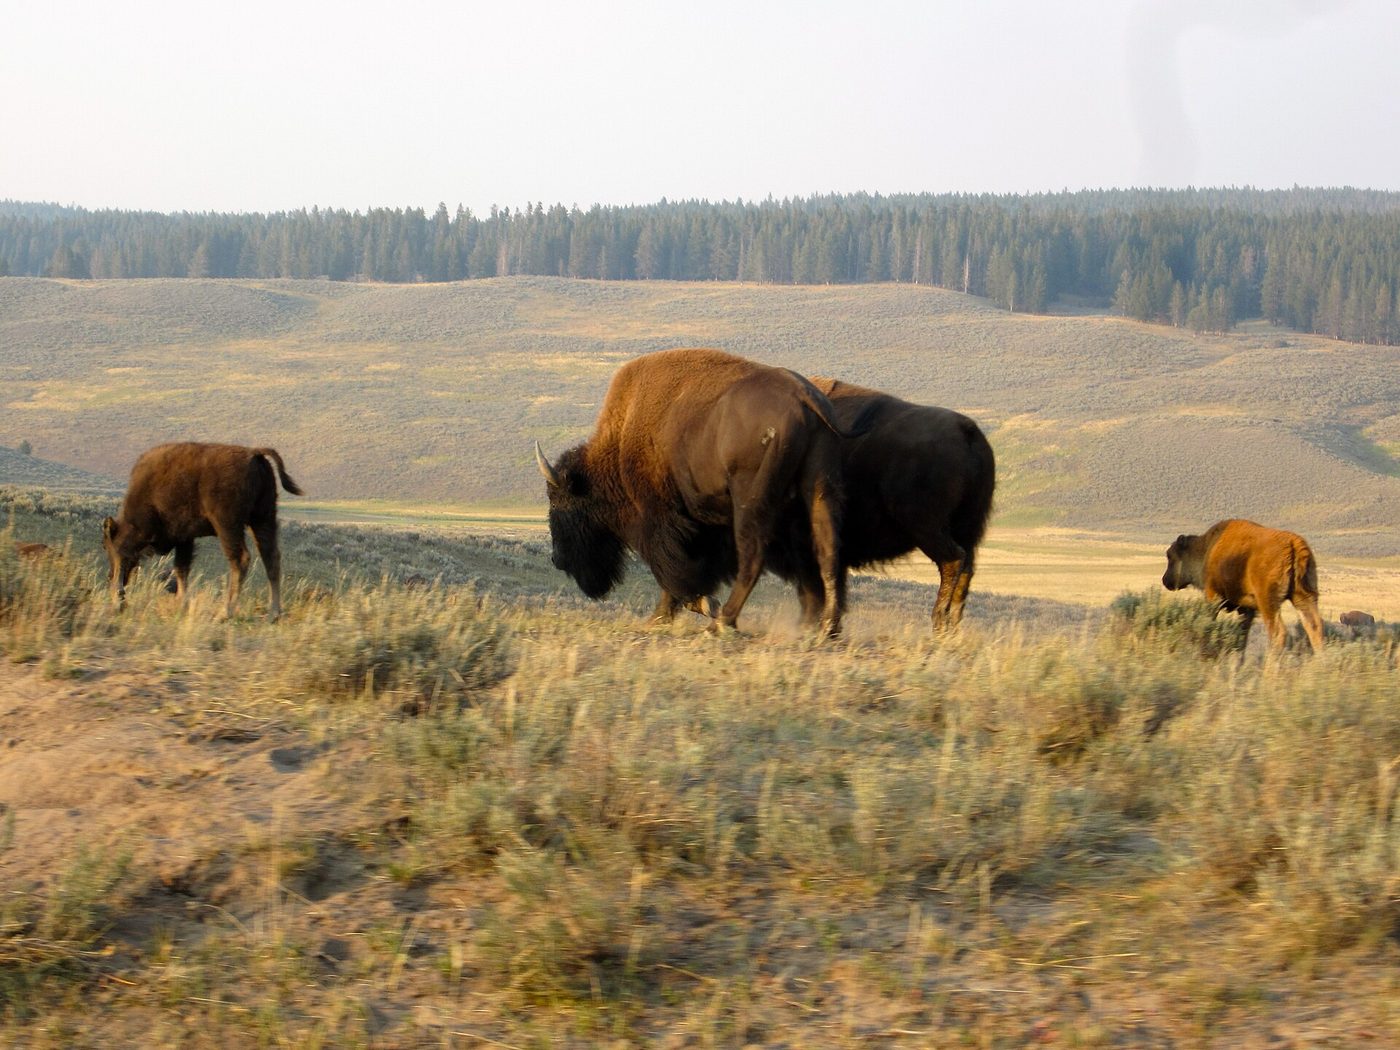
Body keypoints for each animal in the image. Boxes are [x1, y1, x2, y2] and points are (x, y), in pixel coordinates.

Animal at [101, 442, 303, 621]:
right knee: (271, 558)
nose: (111, 576)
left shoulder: (182, 537)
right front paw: (182, 606)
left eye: (107, 546)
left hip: (227, 525)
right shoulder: (185, 539)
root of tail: (254, 454)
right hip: (263, 518)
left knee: (240, 559)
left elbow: (181, 569)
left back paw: (225, 613)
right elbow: (181, 569)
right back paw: (273, 614)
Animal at [535, 347, 851, 636]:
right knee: (828, 551)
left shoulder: (660, 521)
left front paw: (699, 605)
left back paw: (724, 622)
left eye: (561, 503)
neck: (621, 445)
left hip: (750, 501)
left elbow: (671, 570)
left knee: (753, 555)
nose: (557, 559)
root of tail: (804, 397)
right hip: (819, 490)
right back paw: (826, 628)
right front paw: (661, 617)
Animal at [764, 378, 996, 632]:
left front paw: (814, 626)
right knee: (966, 568)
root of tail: (967, 430)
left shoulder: (802, 540)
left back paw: (938, 622)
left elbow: (814, 588)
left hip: (926, 526)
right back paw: (950, 628)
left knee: (953, 560)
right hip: (966, 528)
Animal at [1161, 519, 1324, 652]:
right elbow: (1242, 639)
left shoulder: (1213, 597)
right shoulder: (1247, 610)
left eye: (1170, 556)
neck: (1206, 548)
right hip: (1304, 597)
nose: (1165, 580)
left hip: (1268, 602)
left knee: (1278, 633)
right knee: (1315, 628)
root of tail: (1293, 543)